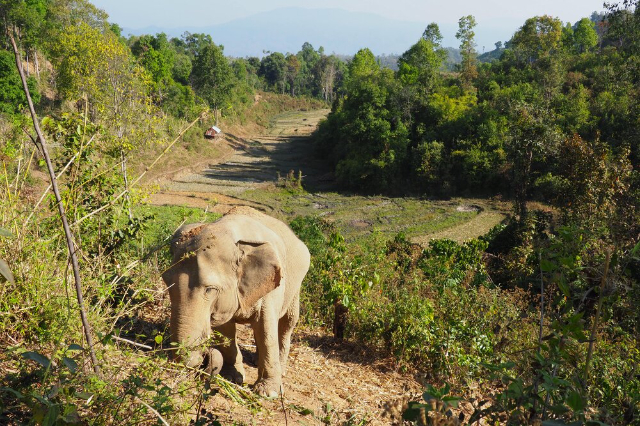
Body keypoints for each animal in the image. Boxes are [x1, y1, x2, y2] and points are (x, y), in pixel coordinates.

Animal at [161, 206, 310, 397]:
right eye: (165, 281)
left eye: (210, 289)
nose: (205, 358)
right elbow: (225, 328)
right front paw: (232, 378)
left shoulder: (272, 287)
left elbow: (266, 328)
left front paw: (268, 393)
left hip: (296, 284)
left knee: (287, 322)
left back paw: (281, 368)